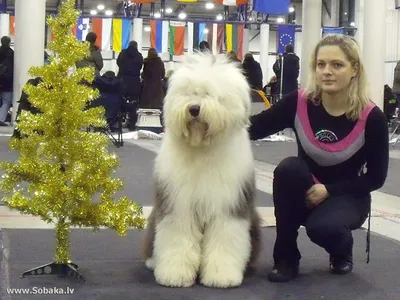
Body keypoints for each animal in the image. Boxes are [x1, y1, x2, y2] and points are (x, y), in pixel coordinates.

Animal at [142, 53, 260, 288]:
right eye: (189, 93)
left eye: (209, 94)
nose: (194, 109)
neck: (202, 149)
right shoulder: (178, 203)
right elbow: (177, 236)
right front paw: (174, 275)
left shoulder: (227, 206)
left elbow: (225, 238)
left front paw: (222, 277)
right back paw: (152, 262)